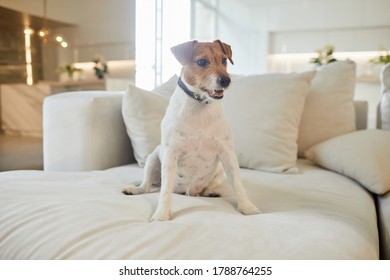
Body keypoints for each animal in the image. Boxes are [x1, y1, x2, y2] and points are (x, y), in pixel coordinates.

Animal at [123, 39, 260, 221]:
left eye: (224, 60)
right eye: (202, 62)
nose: (226, 80)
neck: (199, 105)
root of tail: (188, 191)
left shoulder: (227, 154)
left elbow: (238, 184)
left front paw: (248, 207)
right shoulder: (170, 154)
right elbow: (164, 191)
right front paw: (161, 214)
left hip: (219, 170)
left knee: (210, 186)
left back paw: (211, 192)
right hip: (153, 159)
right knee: (147, 185)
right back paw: (135, 189)